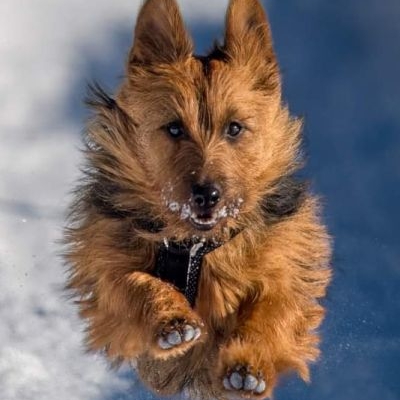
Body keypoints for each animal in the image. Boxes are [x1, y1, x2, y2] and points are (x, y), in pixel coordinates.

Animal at [64, 1, 332, 398]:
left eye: (234, 128)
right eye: (174, 128)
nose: (208, 194)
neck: (195, 244)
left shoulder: (283, 260)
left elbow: (273, 308)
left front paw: (248, 366)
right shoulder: (106, 259)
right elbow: (131, 283)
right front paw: (172, 320)